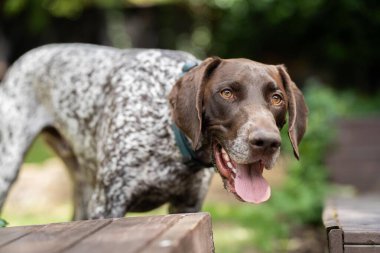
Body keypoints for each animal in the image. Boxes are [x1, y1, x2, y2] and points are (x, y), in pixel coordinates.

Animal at [0, 43, 308, 219]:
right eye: (227, 93)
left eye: (277, 98)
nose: (267, 142)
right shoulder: (109, 205)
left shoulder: (188, 207)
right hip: (8, 169)